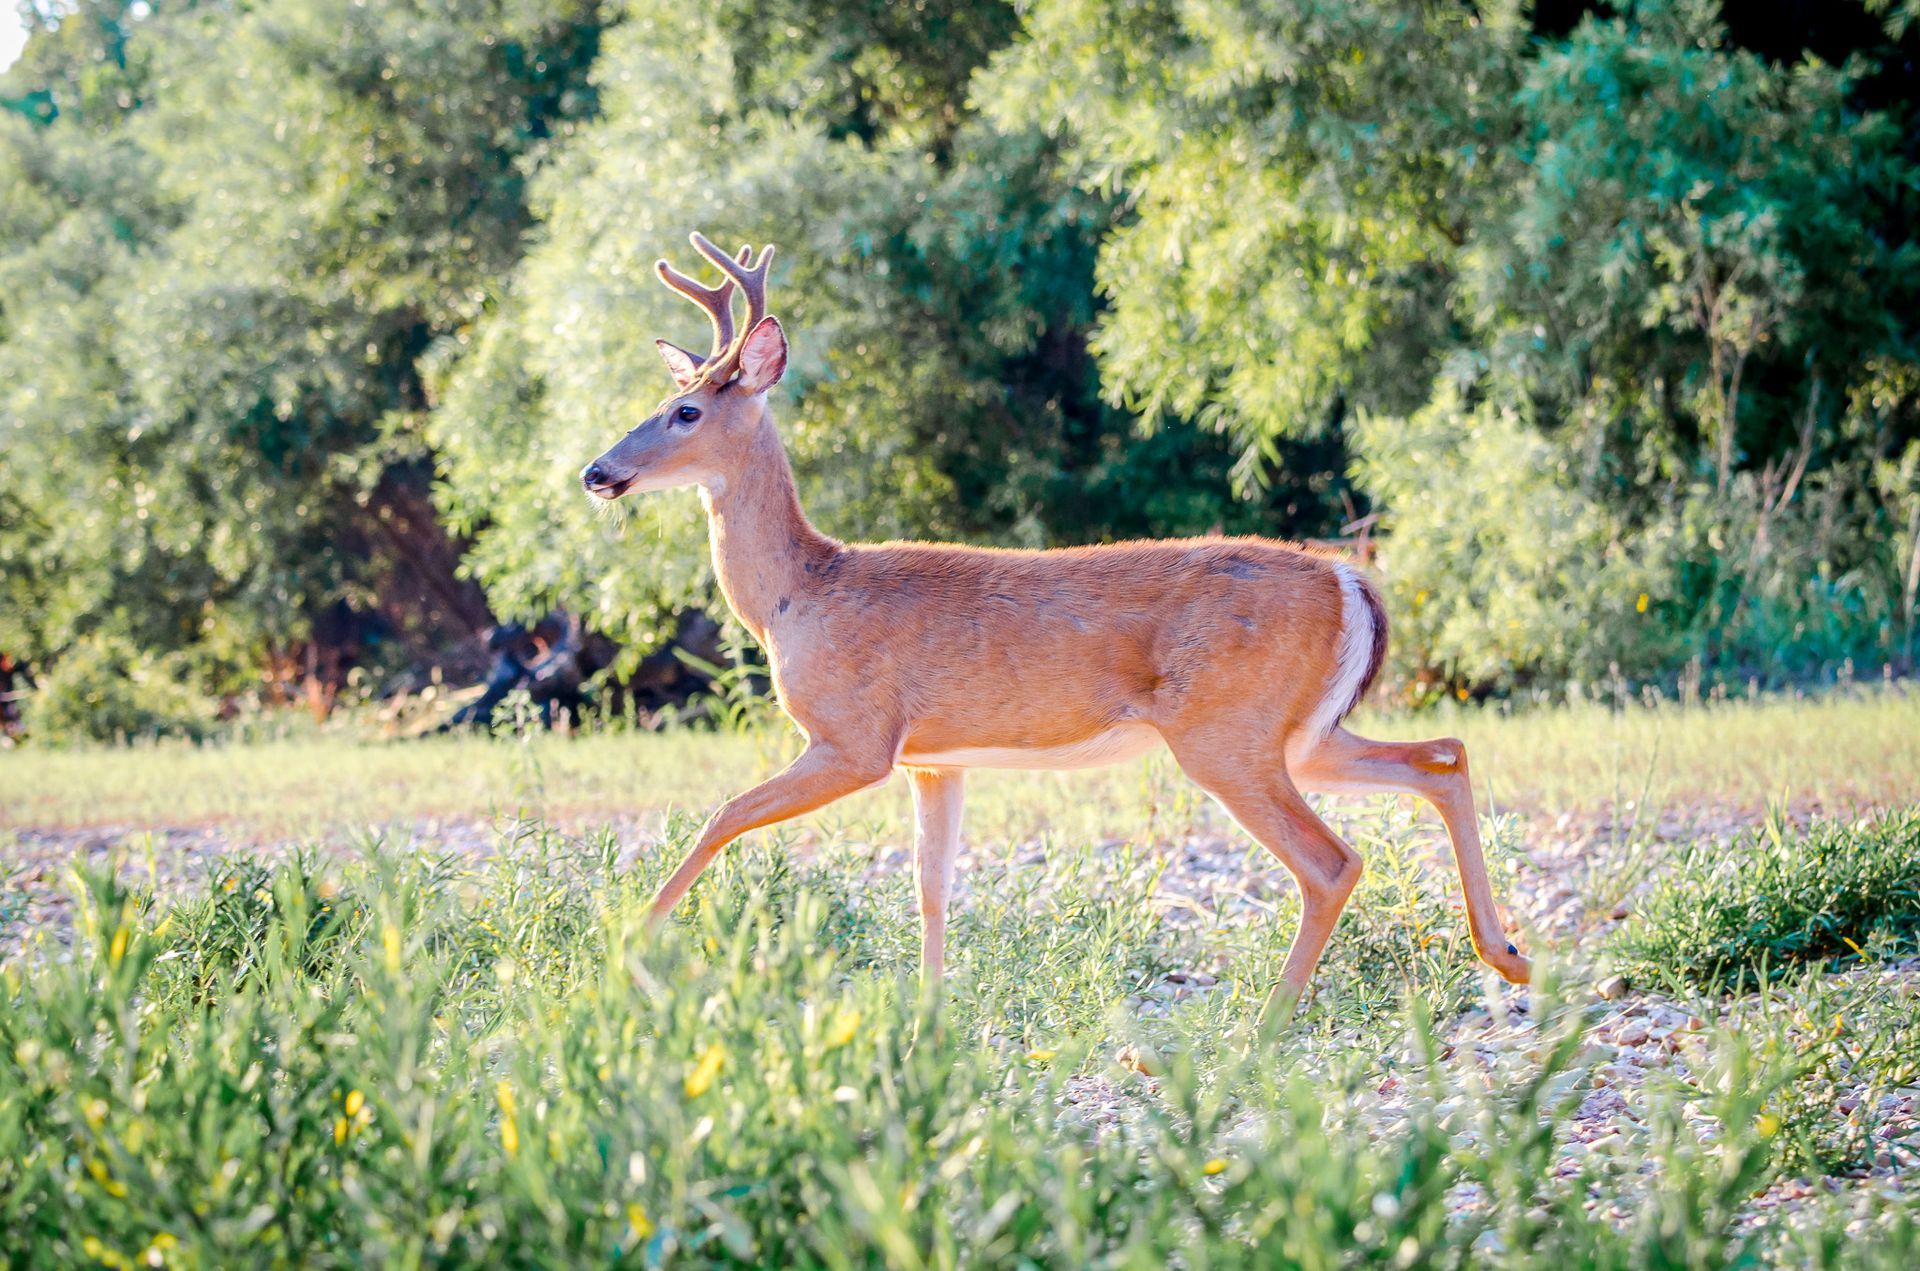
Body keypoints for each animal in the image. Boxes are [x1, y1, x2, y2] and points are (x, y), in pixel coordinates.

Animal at [580, 232, 1529, 1015]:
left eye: (686, 411)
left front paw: (627, 947)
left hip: (1226, 732)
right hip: (1300, 731)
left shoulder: (857, 737)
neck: (799, 595)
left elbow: (721, 814)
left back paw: (1258, 1031)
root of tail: (1348, 577)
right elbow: (931, 888)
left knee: (1333, 862)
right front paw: (927, 1024)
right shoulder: (934, 758)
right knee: (1442, 755)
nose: (597, 471)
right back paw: (1508, 952)